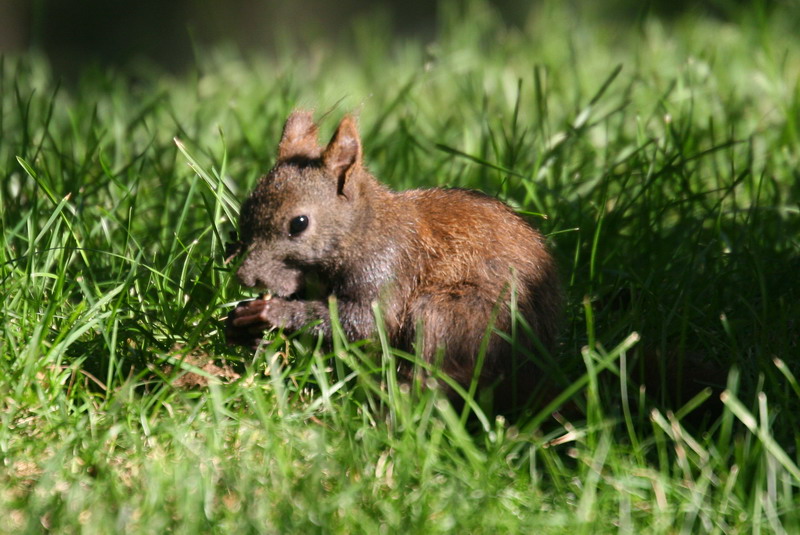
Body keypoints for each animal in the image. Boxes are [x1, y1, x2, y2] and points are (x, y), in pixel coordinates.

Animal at [225, 110, 564, 410]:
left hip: (450, 312)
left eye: (299, 223)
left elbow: (366, 322)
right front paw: (241, 325)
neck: (366, 229)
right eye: (244, 214)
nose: (246, 277)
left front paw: (274, 312)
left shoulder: (387, 267)